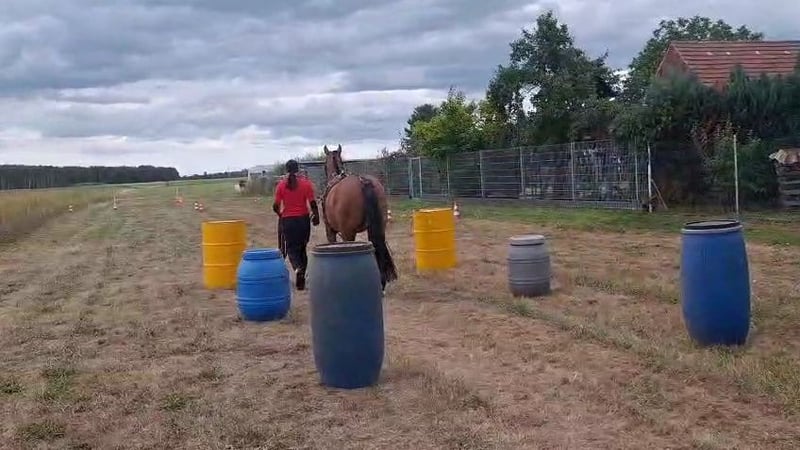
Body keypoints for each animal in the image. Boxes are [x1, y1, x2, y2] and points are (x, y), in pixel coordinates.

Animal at [320, 144, 398, 291]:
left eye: (324, 165)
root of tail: (363, 181)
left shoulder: (330, 231)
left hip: (348, 233)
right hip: (379, 227)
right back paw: (381, 282)